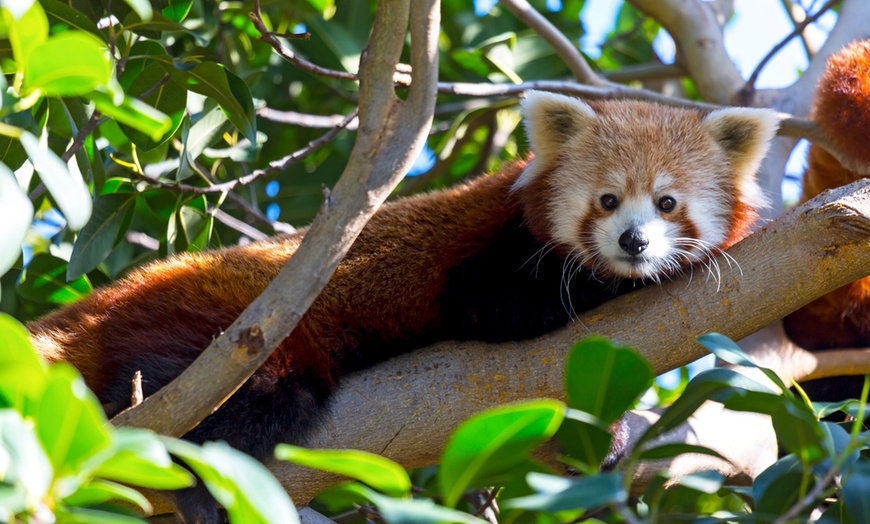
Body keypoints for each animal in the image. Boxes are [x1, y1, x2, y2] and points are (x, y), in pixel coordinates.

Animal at [27, 92, 780, 520]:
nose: (633, 242)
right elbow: (501, 307)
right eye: (606, 200)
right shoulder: (487, 260)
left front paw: (610, 436)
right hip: (225, 332)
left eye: (667, 203)